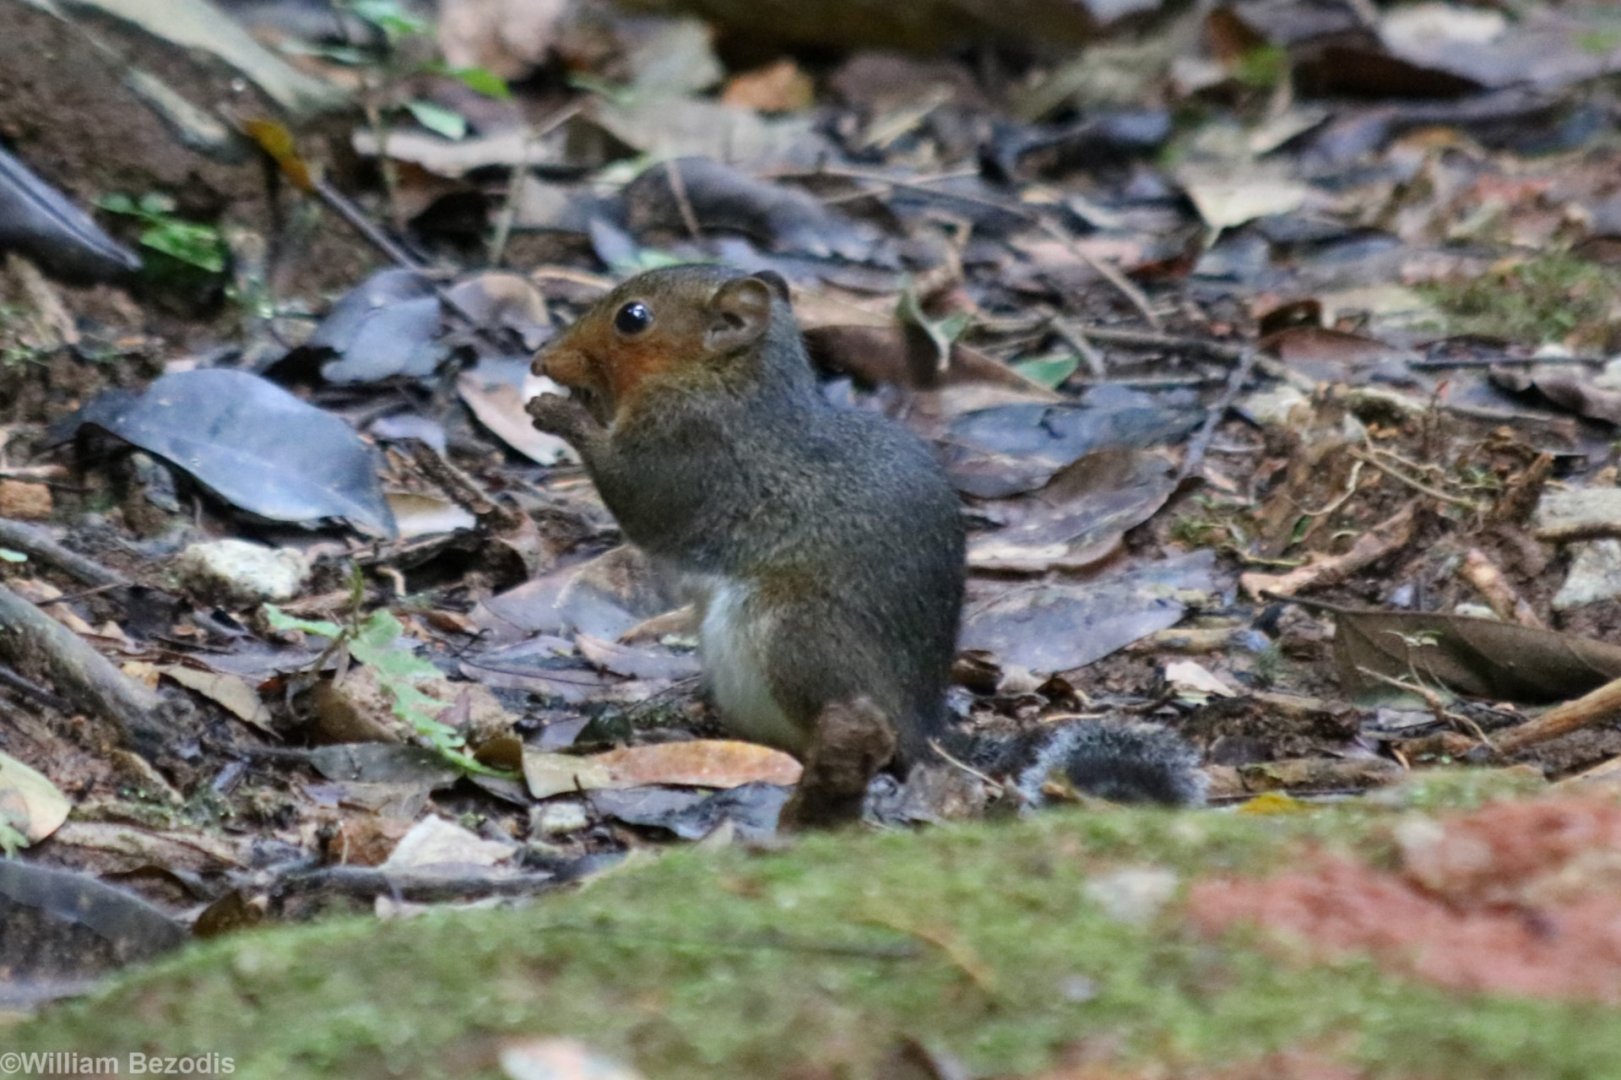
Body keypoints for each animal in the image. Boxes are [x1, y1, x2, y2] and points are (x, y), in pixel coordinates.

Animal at [527, 264, 1205, 826]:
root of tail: (923, 728)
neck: (725, 381)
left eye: (633, 318)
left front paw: (562, 415)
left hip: (796, 634)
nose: (541, 360)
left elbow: (638, 501)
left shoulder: (687, 447)